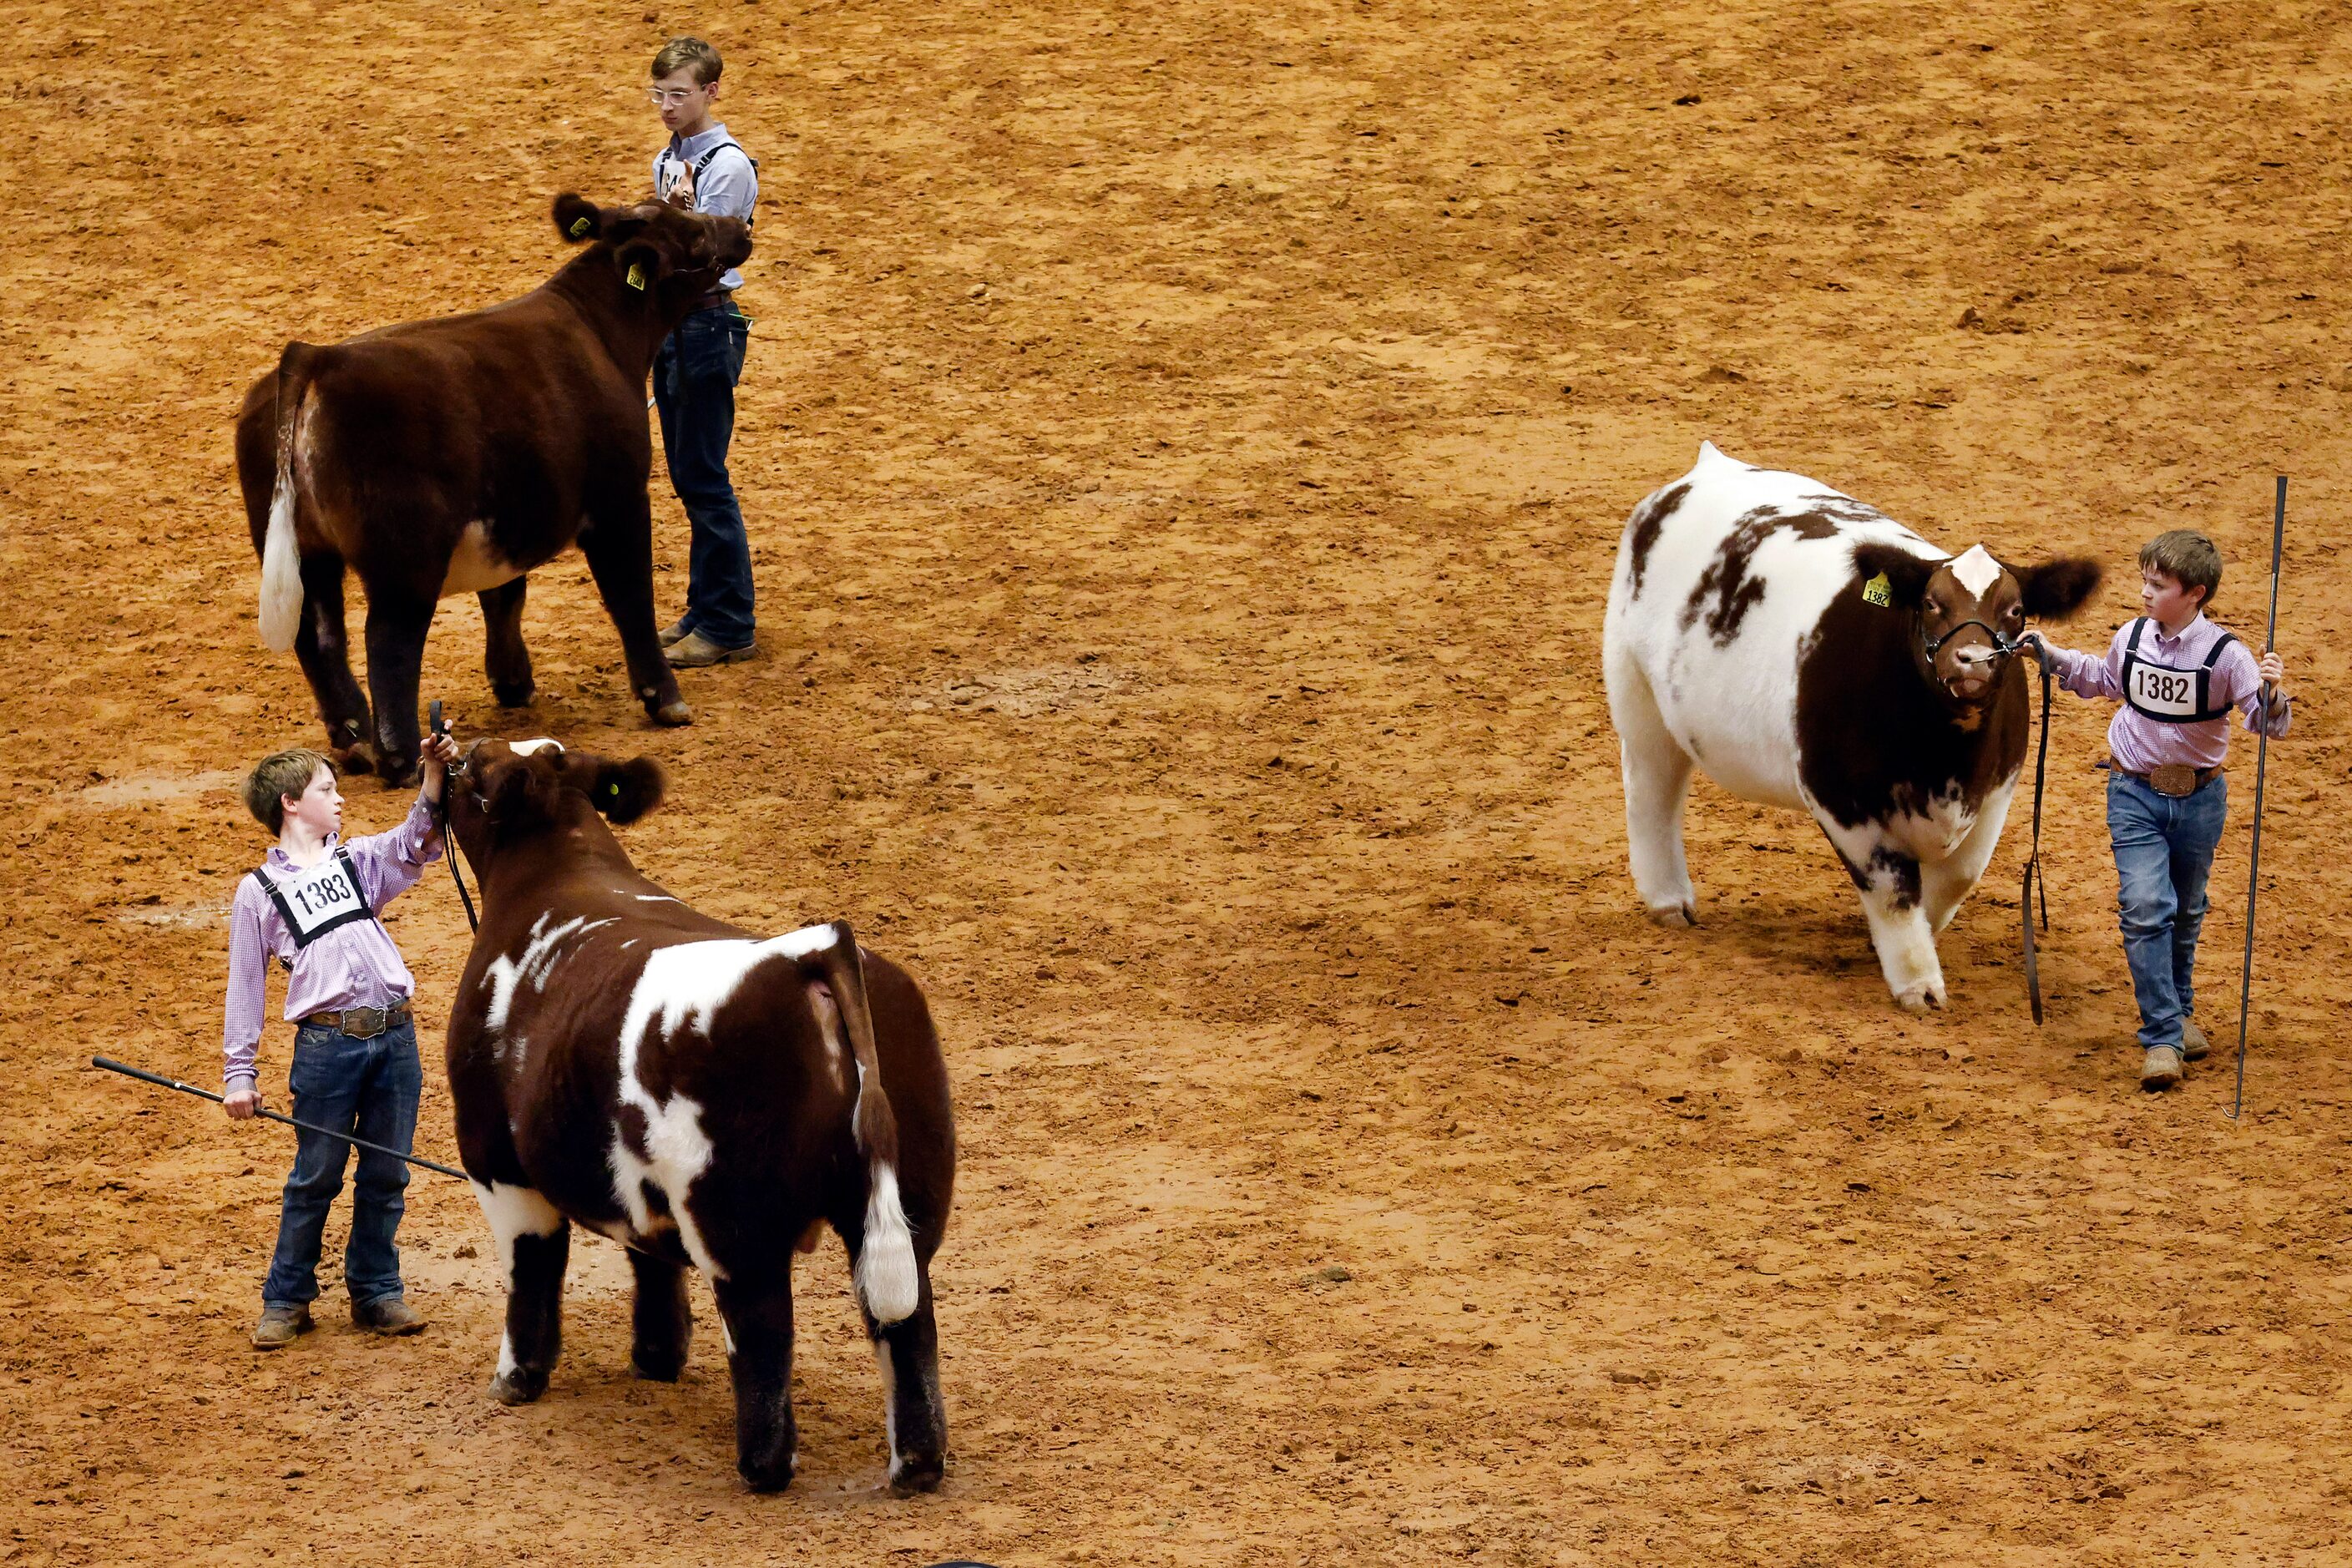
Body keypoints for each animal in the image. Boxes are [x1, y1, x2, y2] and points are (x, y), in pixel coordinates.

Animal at [232, 192, 747, 785]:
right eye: (693, 232)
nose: (739, 229)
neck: (600, 334)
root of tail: (318, 355)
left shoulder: (511, 510)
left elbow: (505, 595)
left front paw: (513, 682)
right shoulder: (619, 501)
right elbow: (630, 597)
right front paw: (664, 698)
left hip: (309, 551)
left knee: (319, 636)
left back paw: (356, 741)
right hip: (404, 562)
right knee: (387, 642)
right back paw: (401, 757)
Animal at [442, 742, 954, 1504]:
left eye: (476, 771)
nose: (442, 748)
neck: (554, 872)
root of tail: (814, 954)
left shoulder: (495, 1160)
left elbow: (532, 1267)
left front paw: (517, 1379)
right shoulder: (630, 1177)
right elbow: (647, 1253)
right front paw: (656, 1357)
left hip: (735, 1226)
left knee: (764, 1333)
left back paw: (762, 1468)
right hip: (907, 1203)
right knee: (907, 1327)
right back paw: (913, 1466)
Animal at [1599, 444, 2097, 1006]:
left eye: (2015, 610)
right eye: (1931, 603)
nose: (1971, 660)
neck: (1944, 763)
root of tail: (1709, 466)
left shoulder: (1997, 792)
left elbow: (1956, 878)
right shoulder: (1840, 797)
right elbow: (1895, 891)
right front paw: (1919, 986)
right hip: (1634, 688)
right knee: (1652, 792)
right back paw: (1669, 900)